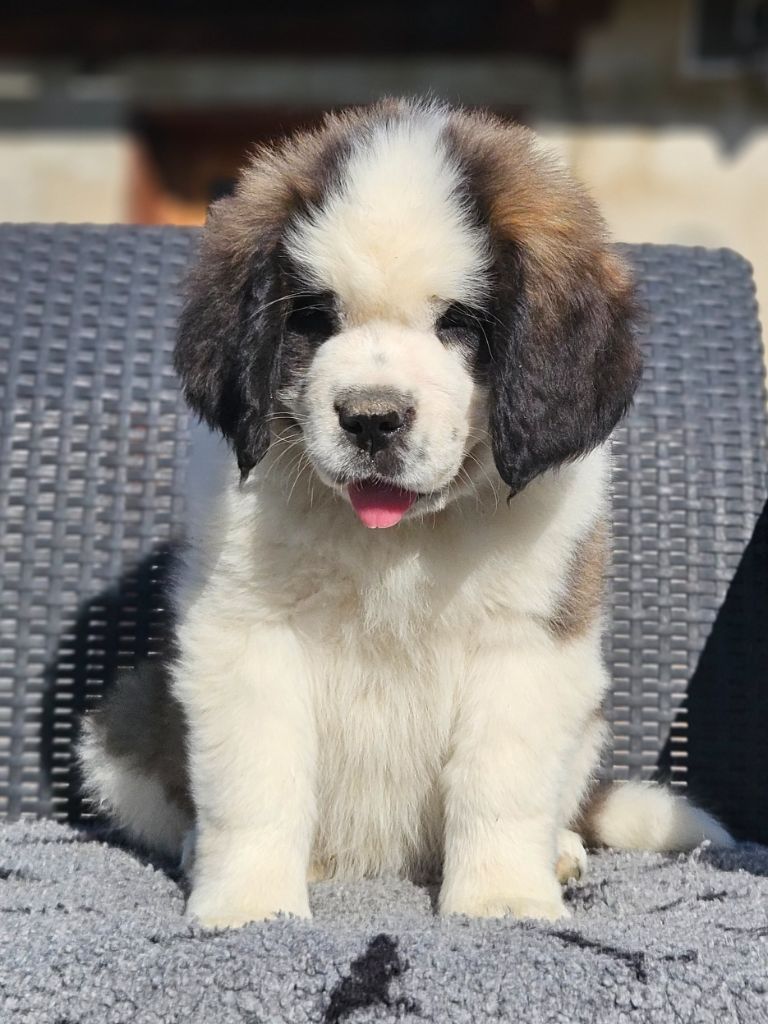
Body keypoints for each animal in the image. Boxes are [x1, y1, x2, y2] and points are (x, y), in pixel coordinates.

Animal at [78, 98, 732, 928]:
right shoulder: (244, 632)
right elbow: (256, 781)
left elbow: (502, 784)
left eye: (459, 323)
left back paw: (556, 852)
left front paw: (503, 900)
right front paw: (251, 905)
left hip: (587, 719)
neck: (398, 542)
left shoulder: (526, 643)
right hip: (120, 721)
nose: (371, 418)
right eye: (314, 318)